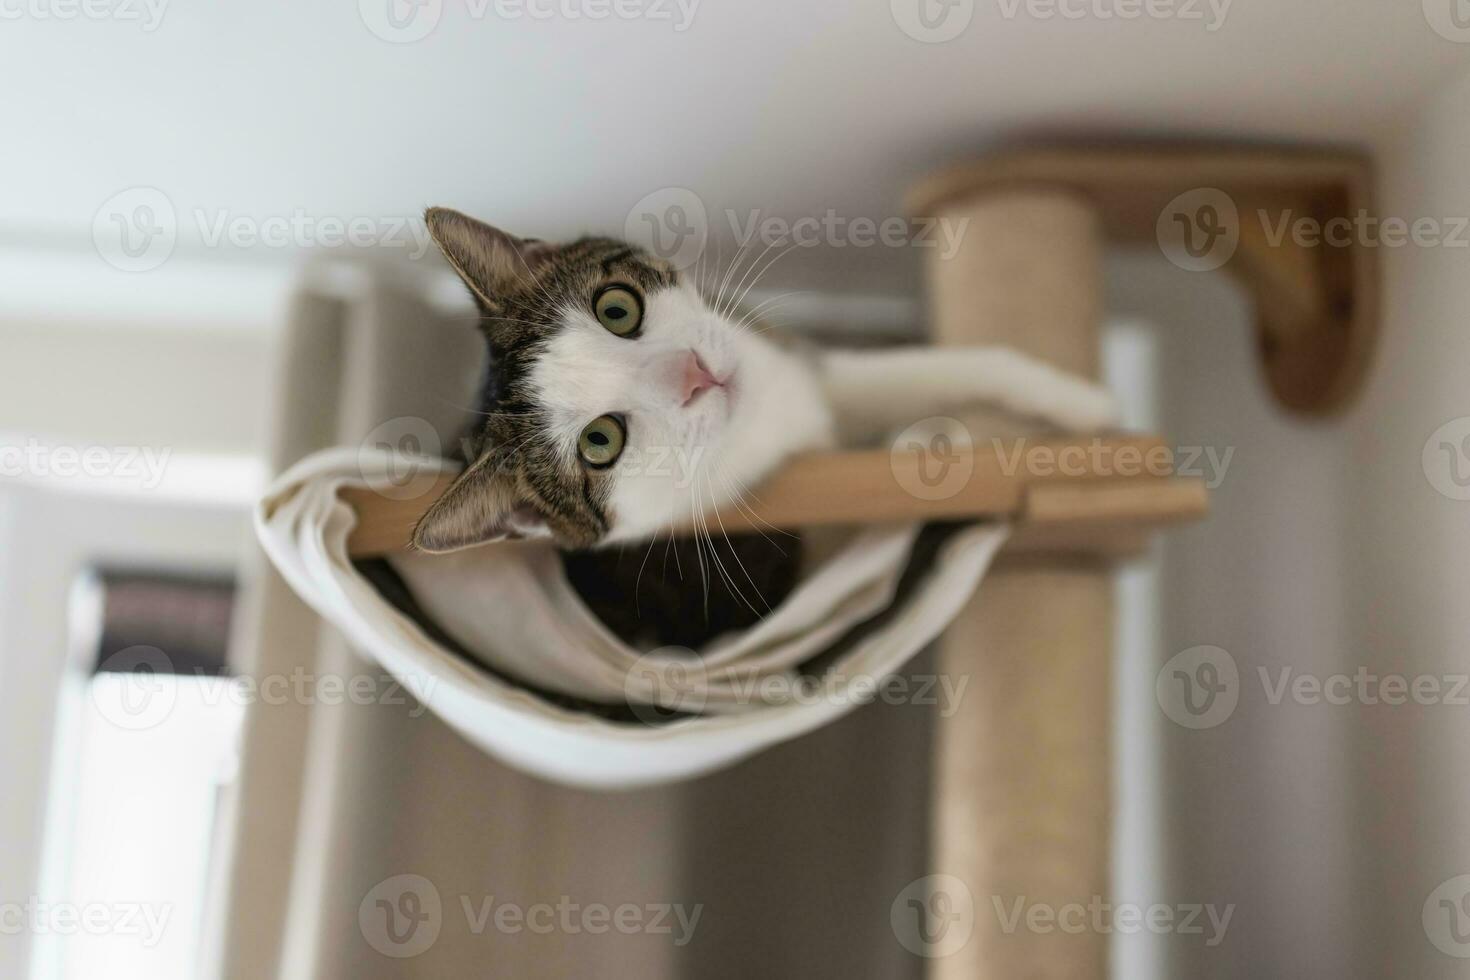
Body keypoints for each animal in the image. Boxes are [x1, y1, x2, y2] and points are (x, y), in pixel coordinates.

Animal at [408, 205, 1117, 558]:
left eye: (617, 309)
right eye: (600, 441)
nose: (695, 374)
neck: (760, 420)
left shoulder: (787, 358)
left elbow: (938, 367)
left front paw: (1081, 402)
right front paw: (927, 443)